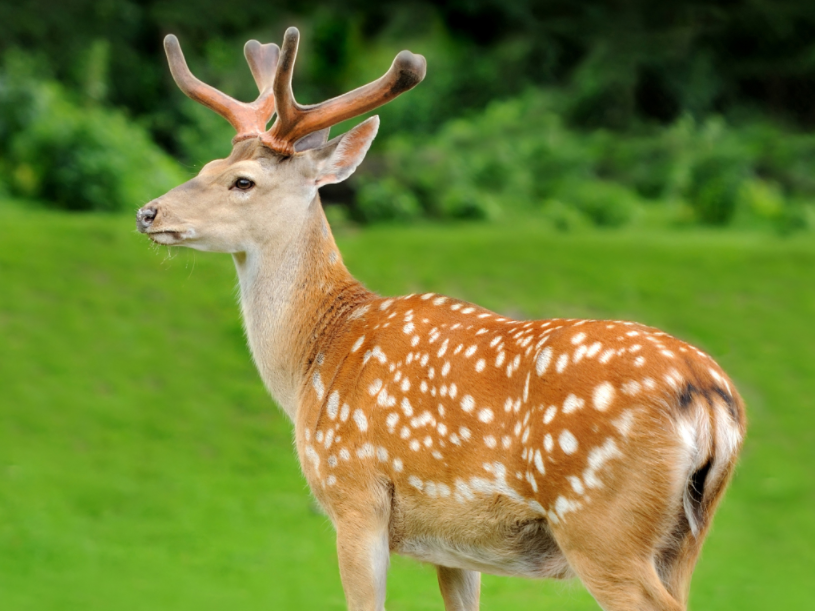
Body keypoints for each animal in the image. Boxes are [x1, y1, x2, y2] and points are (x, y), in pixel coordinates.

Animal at [135, 26, 744, 611]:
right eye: (206, 166)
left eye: (243, 181)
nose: (148, 212)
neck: (315, 357)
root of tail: (710, 399)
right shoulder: (454, 546)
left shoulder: (355, 492)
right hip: (684, 536)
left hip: (601, 522)